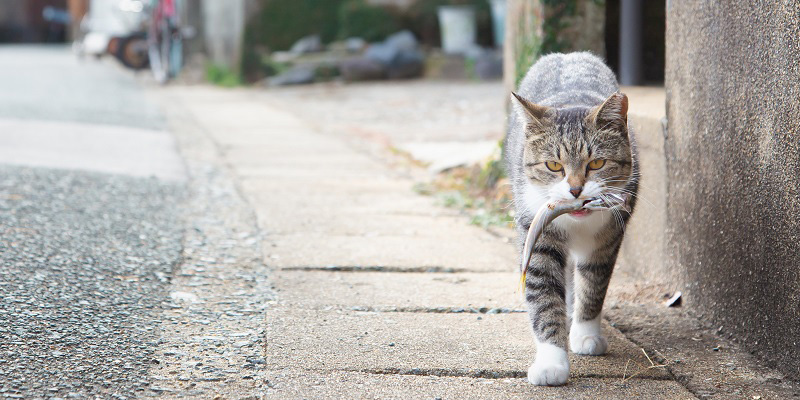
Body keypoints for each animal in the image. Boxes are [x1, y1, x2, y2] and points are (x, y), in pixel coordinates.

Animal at [504, 51, 640, 386]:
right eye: (554, 165)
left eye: (598, 163)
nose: (576, 189)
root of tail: (568, 54)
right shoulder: (537, 234)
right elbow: (544, 295)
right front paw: (551, 361)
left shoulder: (608, 237)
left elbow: (593, 285)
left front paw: (586, 334)